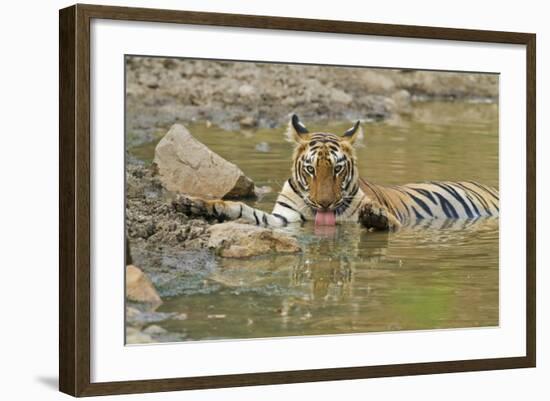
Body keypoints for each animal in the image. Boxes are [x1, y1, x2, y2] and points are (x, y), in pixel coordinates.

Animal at [176, 114, 500, 230]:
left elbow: (385, 220)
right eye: (310, 170)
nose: (324, 204)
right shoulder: (284, 219)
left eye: (338, 170)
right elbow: (242, 209)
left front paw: (375, 216)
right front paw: (195, 204)